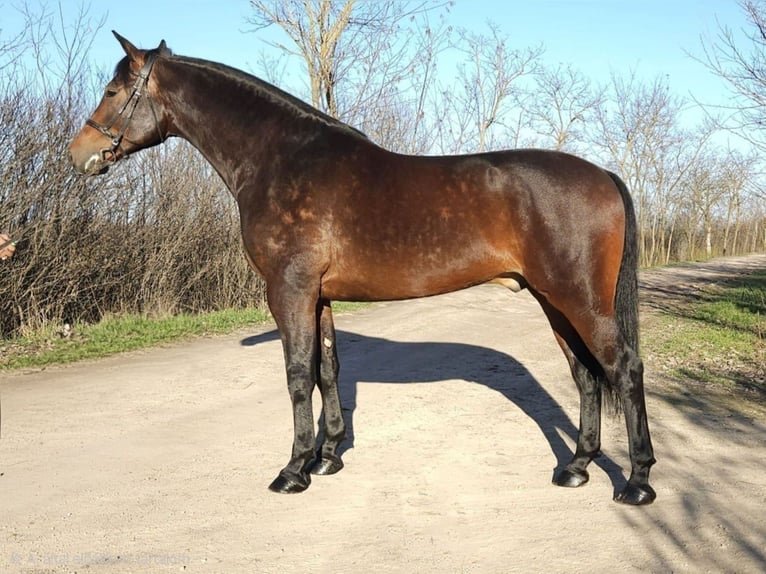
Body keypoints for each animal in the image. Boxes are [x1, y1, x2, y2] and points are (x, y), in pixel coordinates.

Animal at [69, 32, 656, 505]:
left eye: (114, 91)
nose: (79, 154)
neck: (280, 158)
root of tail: (603, 174)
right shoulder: (319, 295)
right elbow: (328, 370)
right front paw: (328, 457)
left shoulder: (288, 290)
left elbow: (297, 374)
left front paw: (293, 470)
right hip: (553, 300)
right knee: (586, 374)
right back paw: (576, 468)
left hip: (579, 299)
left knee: (623, 368)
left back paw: (637, 483)